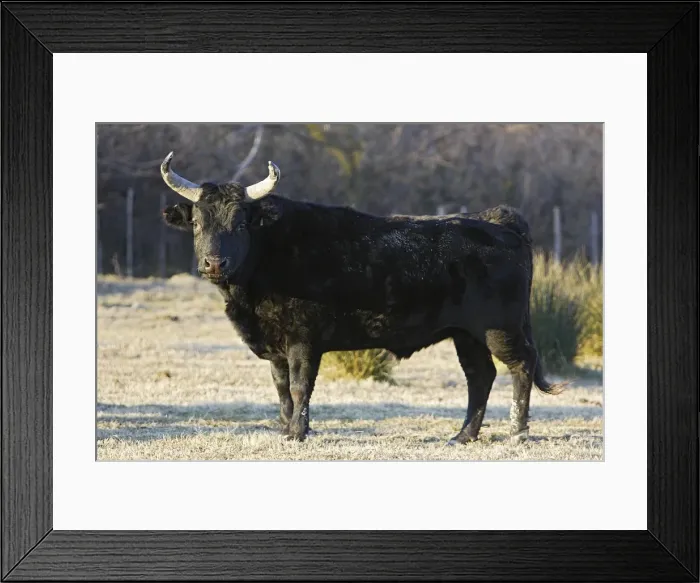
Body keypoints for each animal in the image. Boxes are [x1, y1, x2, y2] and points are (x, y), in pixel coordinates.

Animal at [160, 152, 562, 445]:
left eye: (241, 223)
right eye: (197, 223)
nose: (215, 263)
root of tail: (496, 220)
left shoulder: (304, 341)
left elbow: (300, 386)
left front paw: (298, 433)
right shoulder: (276, 347)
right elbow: (282, 390)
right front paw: (286, 428)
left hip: (500, 329)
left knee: (521, 366)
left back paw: (517, 432)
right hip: (467, 335)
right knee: (480, 376)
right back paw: (463, 436)